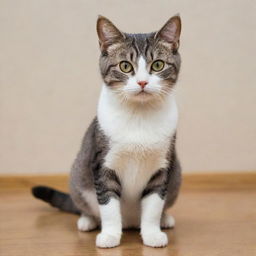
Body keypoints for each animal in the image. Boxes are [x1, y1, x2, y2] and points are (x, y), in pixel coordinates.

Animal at [32, 14, 182, 248]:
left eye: (157, 65)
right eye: (125, 66)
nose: (142, 82)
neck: (139, 116)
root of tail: (130, 222)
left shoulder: (162, 166)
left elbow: (154, 204)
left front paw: (152, 234)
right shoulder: (103, 162)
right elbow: (108, 204)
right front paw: (110, 235)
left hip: (177, 175)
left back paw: (165, 219)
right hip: (77, 174)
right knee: (86, 204)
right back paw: (87, 220)